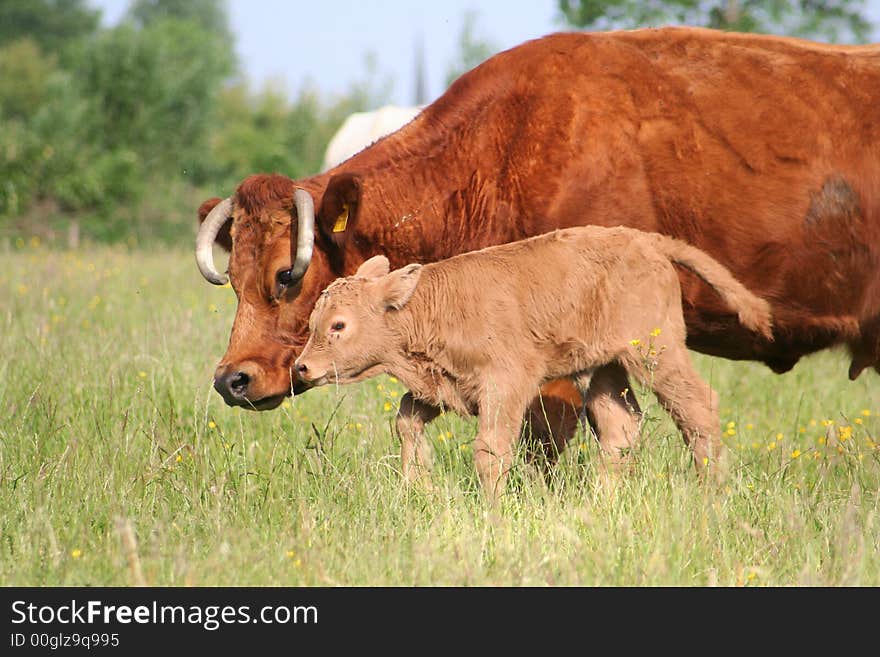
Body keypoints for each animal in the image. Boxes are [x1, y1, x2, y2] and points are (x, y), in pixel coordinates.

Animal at [294, 226, 768, 498]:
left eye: (338, 325)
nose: (301, 368)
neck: (430, 306)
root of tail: (645, 240)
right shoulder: (441, 387)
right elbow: (406, 421)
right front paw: (418, 485)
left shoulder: (505, 385)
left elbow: (490, 450)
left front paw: (492, 509)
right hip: (606, 365)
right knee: (619, 423)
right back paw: (601, 498)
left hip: (656, 354)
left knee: (697, 406)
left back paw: (710, 491)